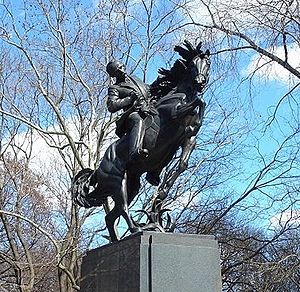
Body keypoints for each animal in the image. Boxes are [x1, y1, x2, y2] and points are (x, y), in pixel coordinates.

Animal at [71, 41, 210, 242]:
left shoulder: (188, 139)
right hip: (117, 183)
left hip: (132, 185)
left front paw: (161, 195)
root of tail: (97, 170)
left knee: (110, 216)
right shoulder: (174, 113)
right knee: (122, 208)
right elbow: (198, 102)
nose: (200, 82)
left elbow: (183, 164)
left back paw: (119, 238)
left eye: (207, 63)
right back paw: (136, 229)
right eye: (192, 65)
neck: (183, 94)